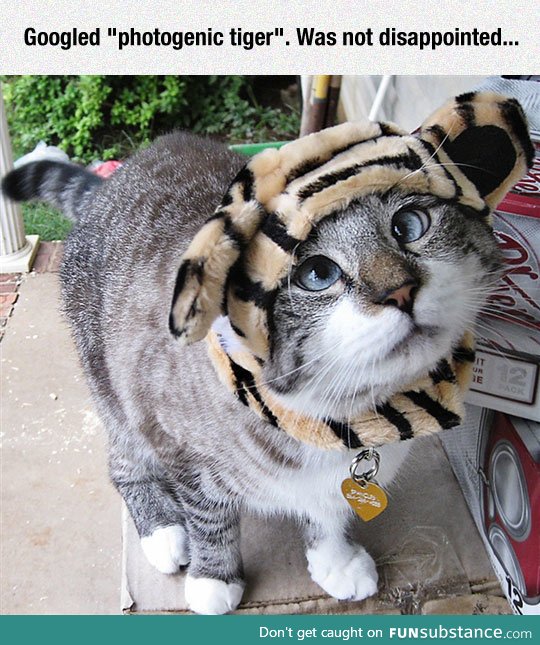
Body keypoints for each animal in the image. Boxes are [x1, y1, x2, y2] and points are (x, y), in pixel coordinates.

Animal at [2, 90, 532, 612]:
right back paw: (164, 533)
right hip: (116, 398)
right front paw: (213, 579)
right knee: (123, 463)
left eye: (409, 224)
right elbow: (209, 517)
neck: (344, 416)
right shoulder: (179, 447)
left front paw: (335, 563)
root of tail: (109, 184)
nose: (399, 292)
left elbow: (330, 515)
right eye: (317, 274)